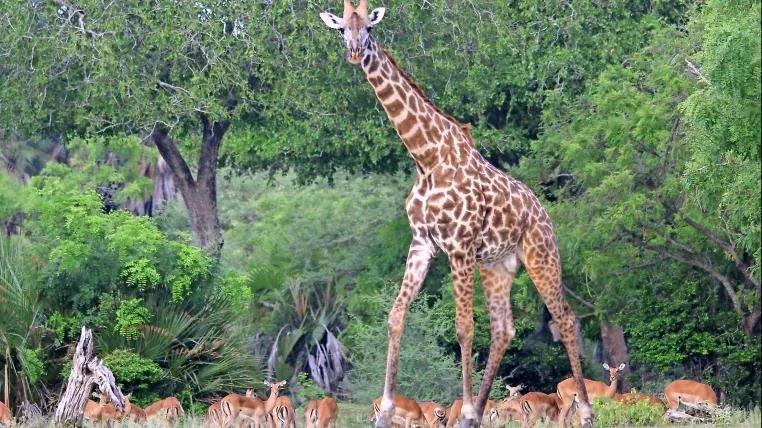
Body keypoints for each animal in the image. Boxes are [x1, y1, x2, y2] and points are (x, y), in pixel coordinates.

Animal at [319, 2, 592, 427]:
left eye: (368, 27)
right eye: (341, 28)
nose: (353, 52)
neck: (427, 157)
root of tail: (544, 213)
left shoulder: (459, 245)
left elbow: (464, 327)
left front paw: (461, 406)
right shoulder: (423, 243)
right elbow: (396, 316)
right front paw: (386, 412)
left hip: (540, 255)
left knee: (564, 318)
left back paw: (585, 411)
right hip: (498, 265)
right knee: (504, 329)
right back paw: (476, 414)